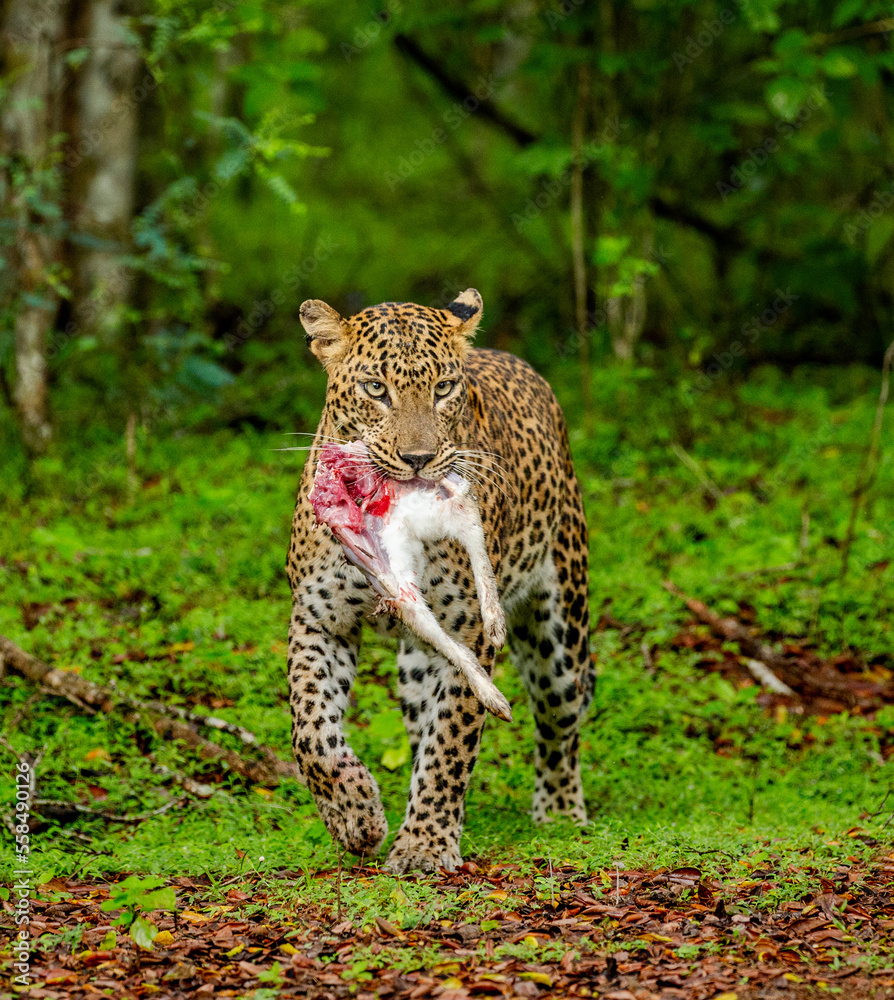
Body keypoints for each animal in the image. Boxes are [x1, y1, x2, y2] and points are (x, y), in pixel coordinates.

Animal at [286, 288, 593, 873]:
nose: (418, 459)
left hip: (561, 631)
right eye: (375, 389)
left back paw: (561, 812)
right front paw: (355, 814)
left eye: (444, 388)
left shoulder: (471, 628)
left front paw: (425, 844)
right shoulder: (319, 619)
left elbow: (453, 735)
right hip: (415, 668)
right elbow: (311, 729)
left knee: (558, 724)